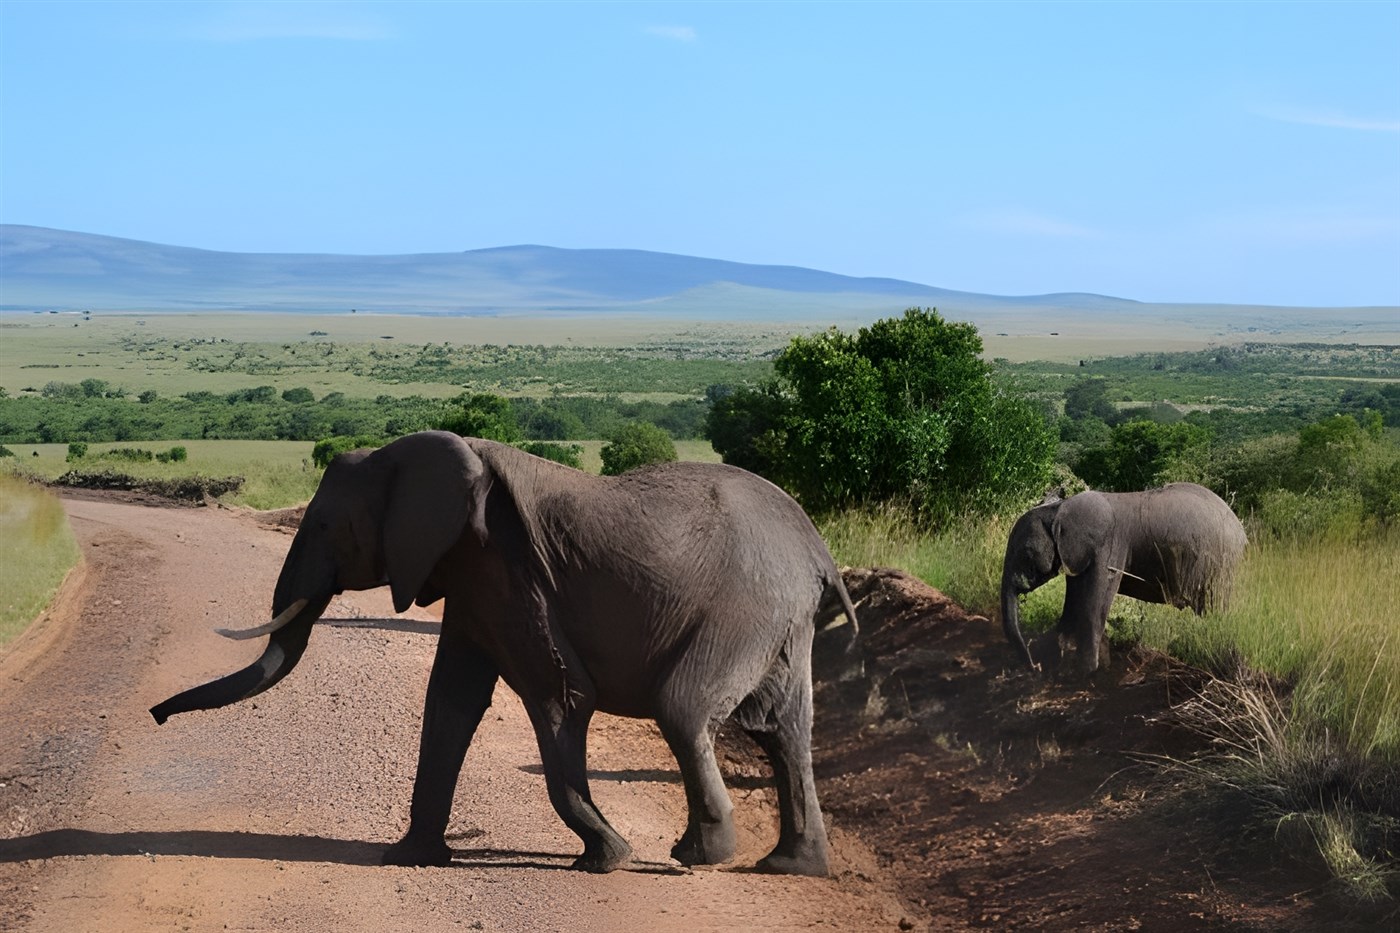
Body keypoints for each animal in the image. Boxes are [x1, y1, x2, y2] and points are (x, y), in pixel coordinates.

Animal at [150, 430, 856, 877]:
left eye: (325, 525)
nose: (153, 716)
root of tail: (818, 550)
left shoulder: (504, 569)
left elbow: (562, 698)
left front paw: (607, 858)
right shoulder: (469, 578)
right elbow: (450, 702)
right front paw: (410, 859)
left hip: (746, 607)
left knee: (684, 710)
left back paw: (697, 857)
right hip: (779, 618)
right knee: (783, 731)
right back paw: (791, 867)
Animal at [1001, 482, 1246, 676]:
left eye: (1025, 553)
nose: (1034, 666)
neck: (1058, 509)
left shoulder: (1108, 546)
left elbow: (1094, 602)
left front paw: (1084, 672)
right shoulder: (1077, 555)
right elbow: (1075, 600)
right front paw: (1061, 660)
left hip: (1218, 565)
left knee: (1215, 609)